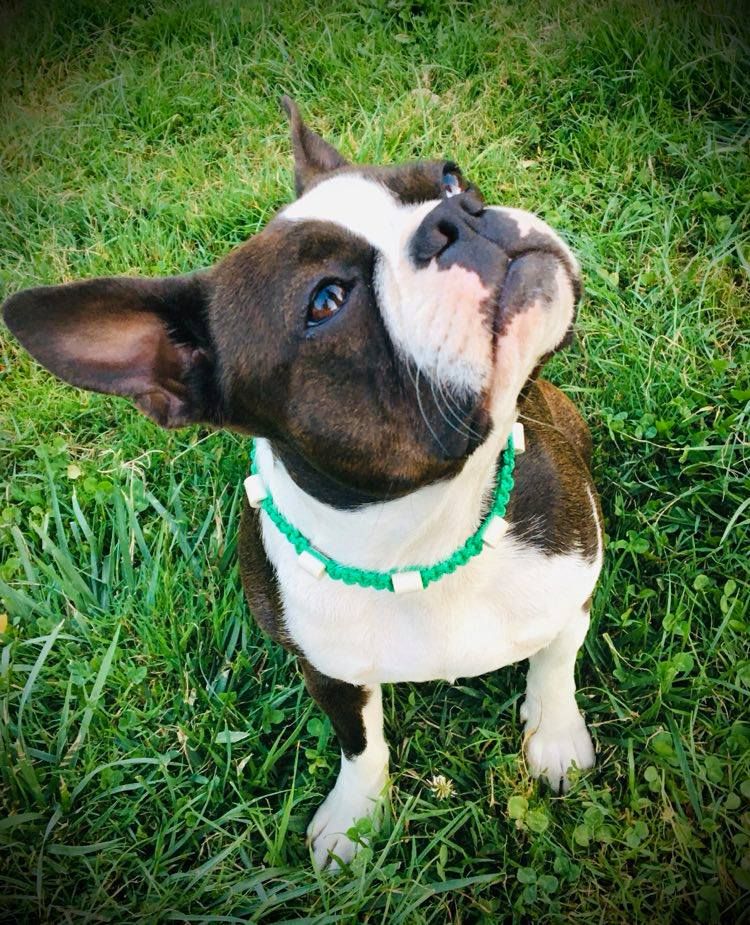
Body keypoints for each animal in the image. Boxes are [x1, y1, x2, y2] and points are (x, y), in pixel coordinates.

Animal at [3, 97, 602, 870]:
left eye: (449, 175)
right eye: (326, 300)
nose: (461, 215)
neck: (423, 529)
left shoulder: (573, 585)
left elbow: (555, 662)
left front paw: (554, 736)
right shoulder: (328, 671)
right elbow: (362, 744)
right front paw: (355, 817)